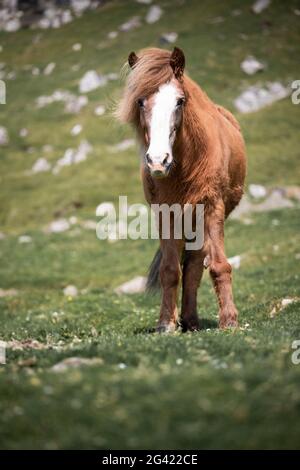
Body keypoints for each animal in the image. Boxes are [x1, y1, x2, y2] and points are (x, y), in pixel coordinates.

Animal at [117, 47, 246, 332]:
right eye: (140, 102)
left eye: (179, 101)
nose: (158, 161)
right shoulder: (166, 214)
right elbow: (169, 270)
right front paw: (166, 323)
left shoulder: (212, 206)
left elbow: (219, 266)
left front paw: (230, 321)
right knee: (190, 266)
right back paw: (188, 320)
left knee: (197, 264)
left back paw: (193, 320)